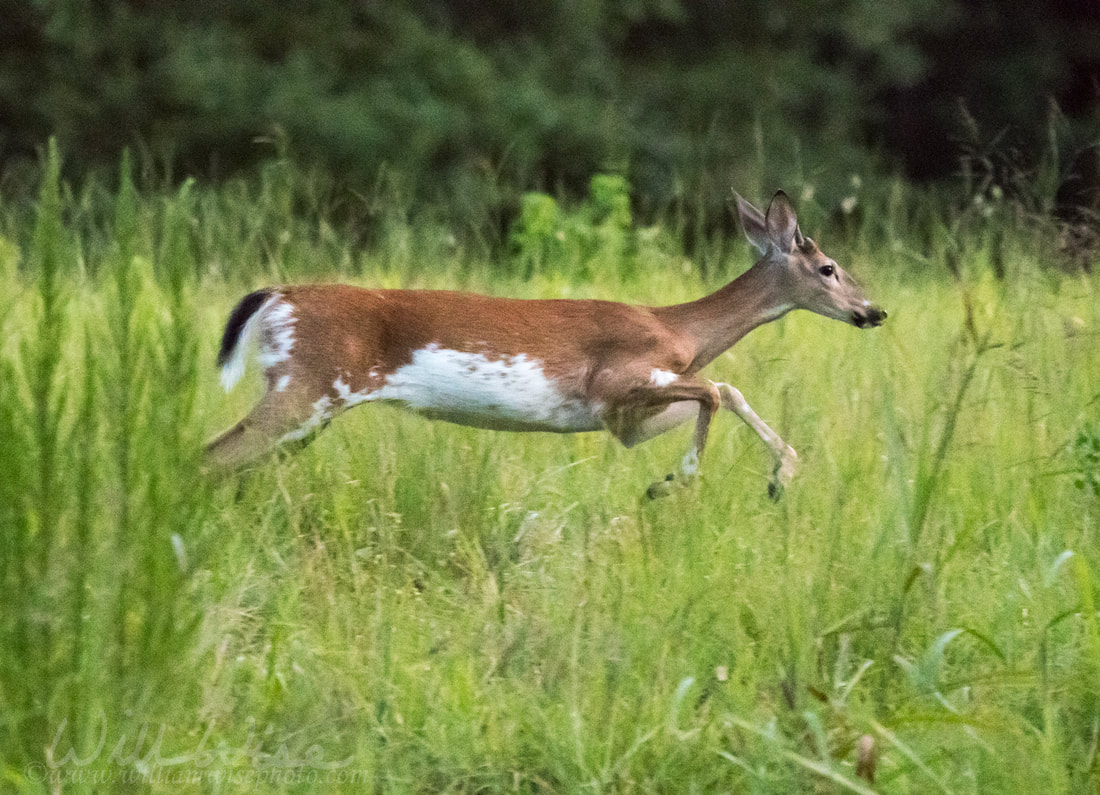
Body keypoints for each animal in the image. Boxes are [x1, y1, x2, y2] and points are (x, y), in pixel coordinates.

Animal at [206, 191, 884, 497]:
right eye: (829, 267)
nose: (874, 311)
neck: (681, 333)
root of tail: (275, 297)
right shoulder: (615, 383)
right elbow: (717, 389)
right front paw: (673, 482)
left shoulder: (621, 420)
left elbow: (726, 388)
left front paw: (780, 475)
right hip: (307, 386)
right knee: (214, 452)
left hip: (308, 401)